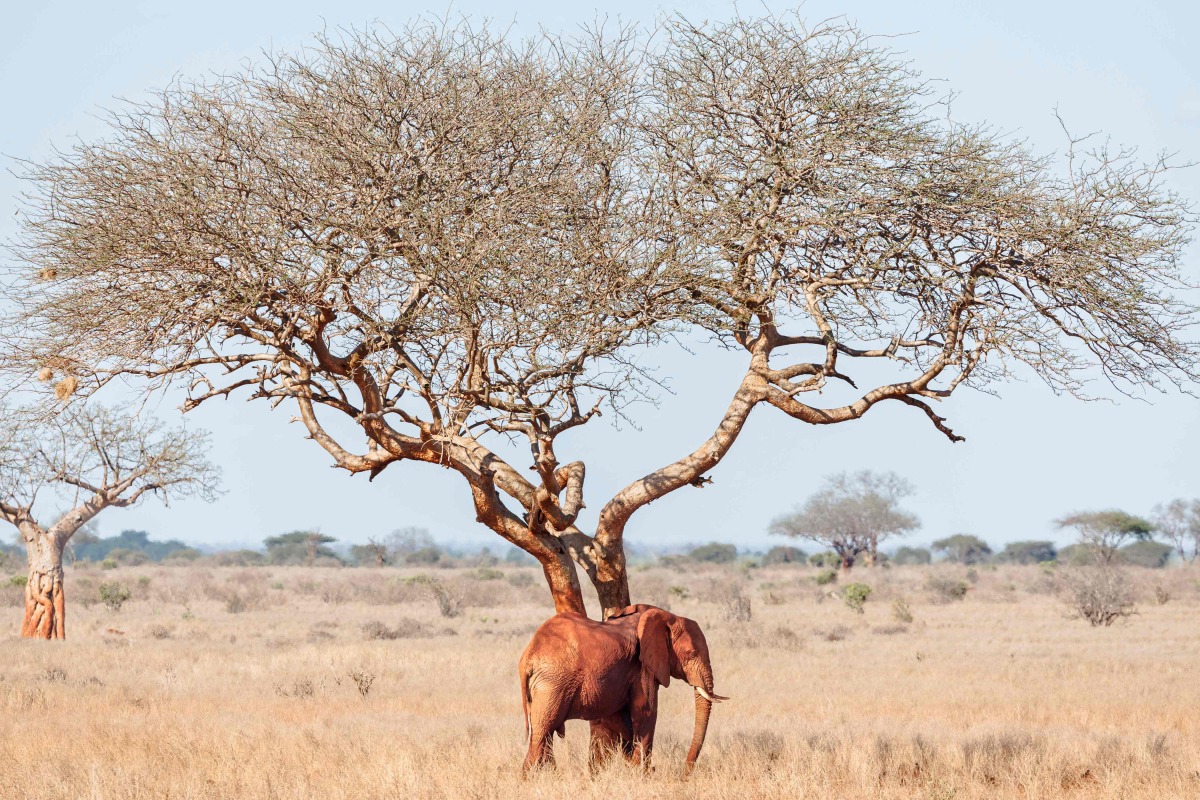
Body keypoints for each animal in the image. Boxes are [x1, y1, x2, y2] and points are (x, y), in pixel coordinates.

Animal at [513, 606, 720, 777]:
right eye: (692, 654)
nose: (685, 773)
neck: (667, 616)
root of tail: (528, 656)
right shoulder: (642, 667)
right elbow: (646, 711)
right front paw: (641, 775)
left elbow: (620, 718)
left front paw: (631, 768)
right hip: (552, 683)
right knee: (542, 732)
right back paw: (530, 780)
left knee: (544, 734)